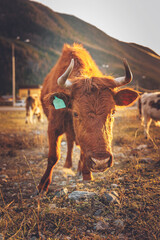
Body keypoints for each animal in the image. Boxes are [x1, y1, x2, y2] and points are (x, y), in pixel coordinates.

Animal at [38, 43, 138, 193]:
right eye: (76, 113)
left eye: (113, 112)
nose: (101, 161)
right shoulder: (53, 127)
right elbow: (53, 156)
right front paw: (43, 185)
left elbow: (83, 149)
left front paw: (86, 174)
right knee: (70, 143)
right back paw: (68, 165)